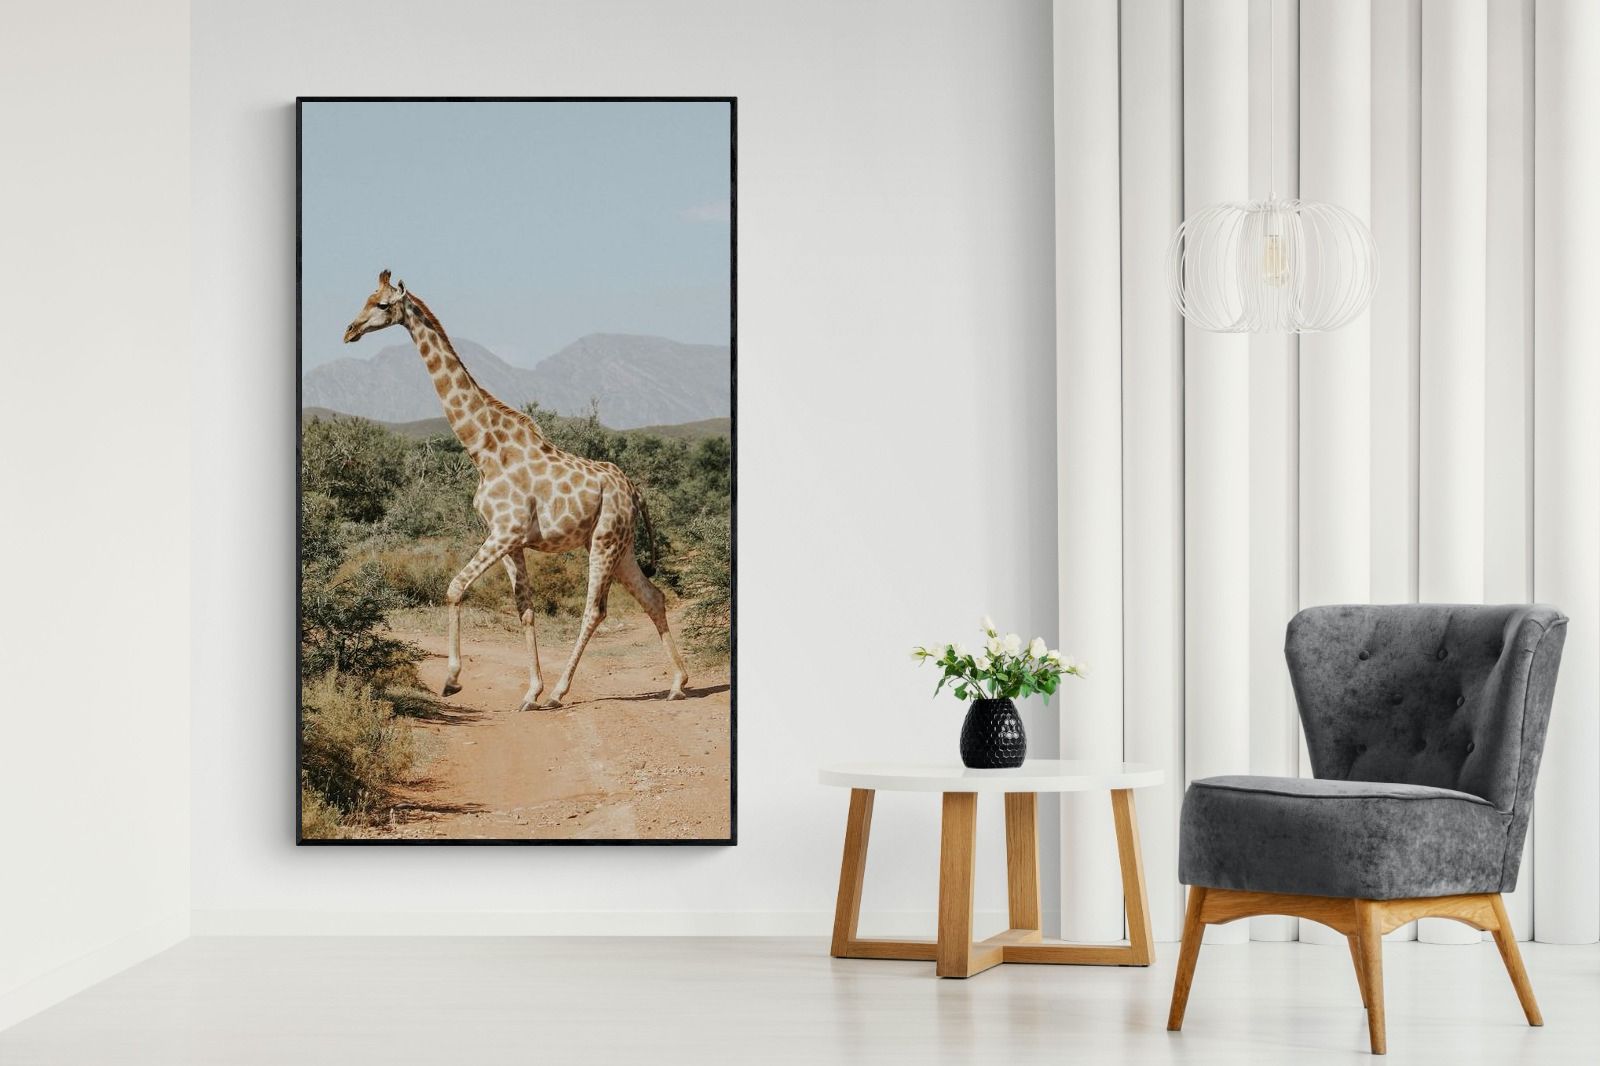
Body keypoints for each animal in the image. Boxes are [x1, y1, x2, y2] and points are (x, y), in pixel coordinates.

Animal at [342, 270, 689, 710]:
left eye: (383, 305)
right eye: (365, 298)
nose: (349, 331)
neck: (484, 449)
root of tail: (633, 489)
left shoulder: (505, 532)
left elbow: (455, 588)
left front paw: (452, 680)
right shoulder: (510, 540)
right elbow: (525, 609)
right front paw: (530, 691)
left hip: (605, 540)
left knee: (595, 610)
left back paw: (560, 692)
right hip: (621, 545)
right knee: (653, 597)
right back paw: (677, 683)